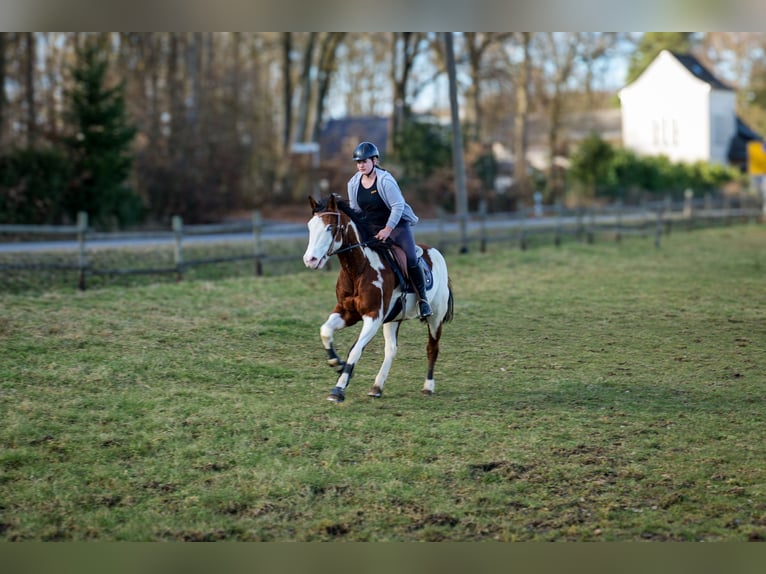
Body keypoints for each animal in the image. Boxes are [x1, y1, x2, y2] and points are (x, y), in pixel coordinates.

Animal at [302, 196, 456, 402]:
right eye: (310, 226)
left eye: (330, 227)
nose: (309, 259)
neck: (359, 269)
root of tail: (436, 254)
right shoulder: (347, 312)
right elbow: (325, 331)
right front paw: (337, 363)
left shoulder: (373, 317)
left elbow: (355, 350)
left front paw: (338, 389)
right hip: (393, 319)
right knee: (391, 349)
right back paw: (376, 387)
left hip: (435, 318)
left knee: (432, 347)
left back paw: (428, 387)